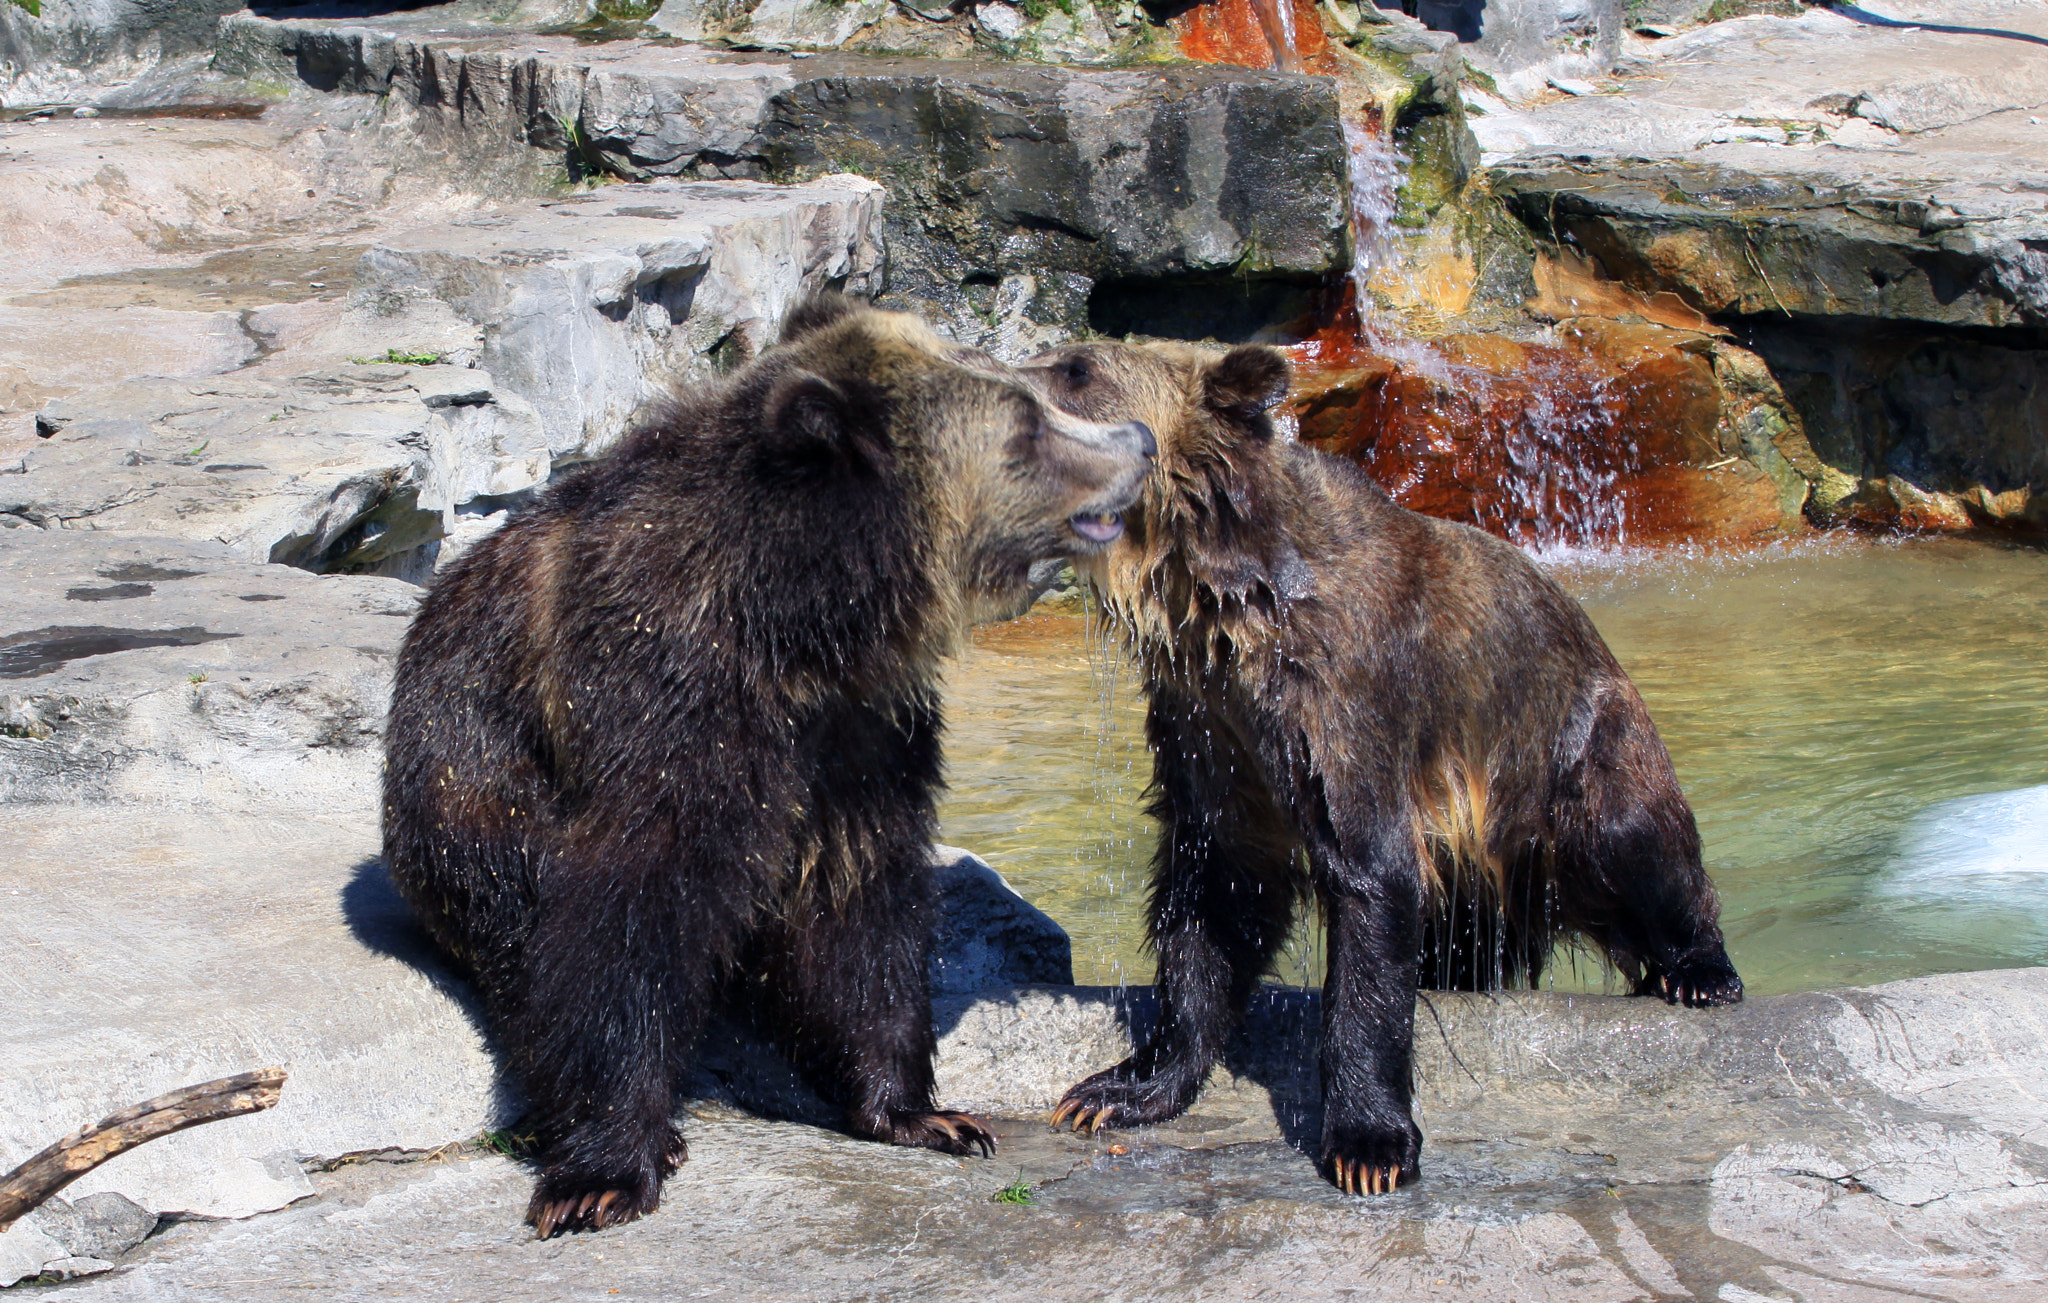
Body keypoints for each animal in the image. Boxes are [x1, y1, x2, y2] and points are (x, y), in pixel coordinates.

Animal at [382, 297, 1155, 1245]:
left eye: (1037, 396)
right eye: (1029, 424)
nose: (1139, 440)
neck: (793, 624)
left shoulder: (857, 735)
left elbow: (857, 909)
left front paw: (923, 1112)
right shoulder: (664, 703)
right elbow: (624, 922)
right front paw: (600, 1175)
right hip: (466, 812)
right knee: (517, 949)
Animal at [1032, 340, 1736, 1196]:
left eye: (1077, 367)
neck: (1223, 598)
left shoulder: (1345, 694)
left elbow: (1369, 876)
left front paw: (1368, 1143)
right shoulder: (1210, 725)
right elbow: (1216, 891)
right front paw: (1117, 1089)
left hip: (1570, 753)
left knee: (1632, 833)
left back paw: (1696, 969)